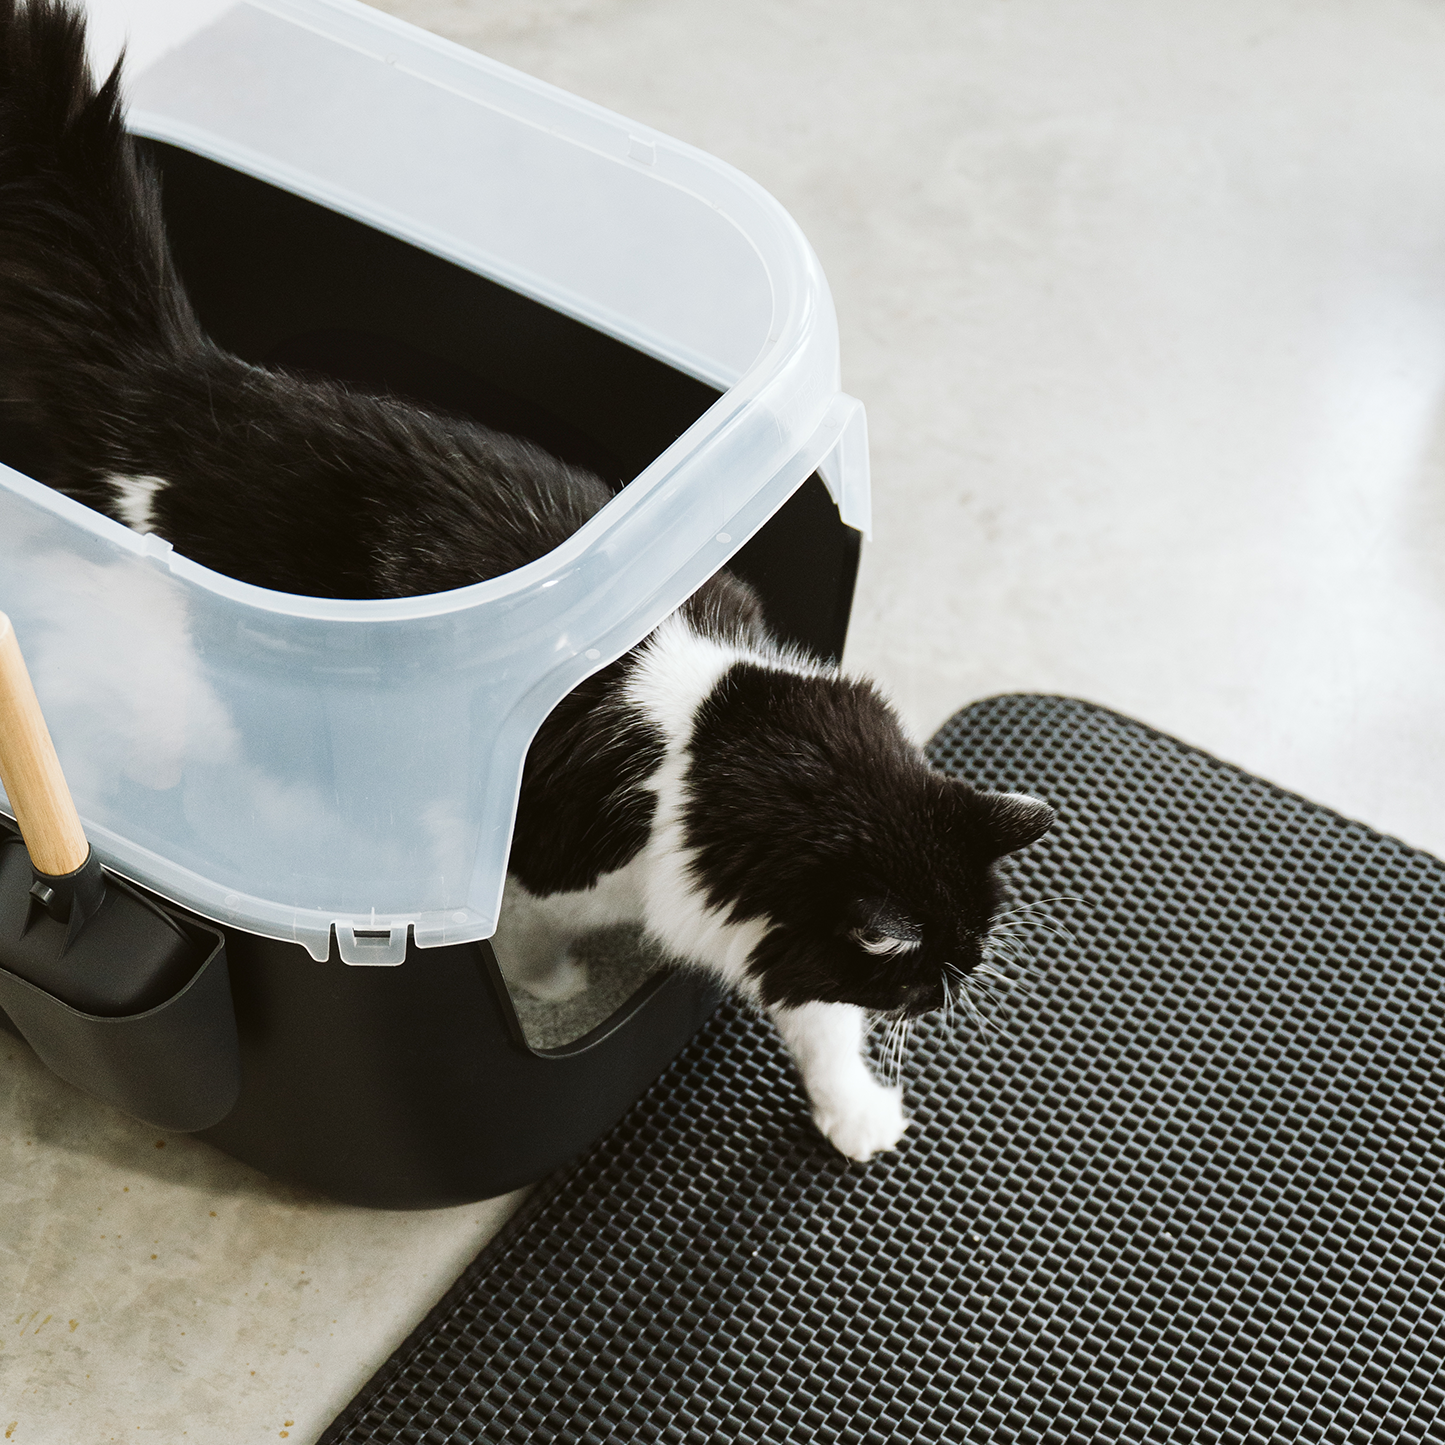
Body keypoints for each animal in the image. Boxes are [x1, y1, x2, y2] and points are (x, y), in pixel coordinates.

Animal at [0, 0, 1051, 1161]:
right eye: (922, 967)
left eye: (960, 953)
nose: (952, 988)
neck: (710, 740)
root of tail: (189, 386)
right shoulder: (538, 871)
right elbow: (536, 945)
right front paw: (550, 985)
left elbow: (818, 1026)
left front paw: (856, 1113)